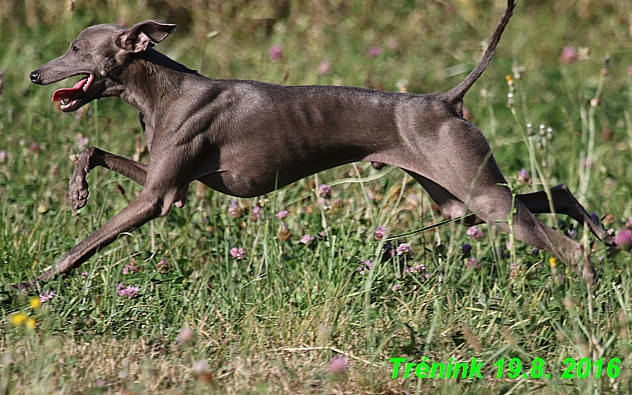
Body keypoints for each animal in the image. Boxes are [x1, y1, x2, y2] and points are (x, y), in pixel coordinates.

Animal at [21, 0, 612, 290]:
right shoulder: (172, 185)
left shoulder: (157, 198)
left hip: (480, 197)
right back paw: (605, 235)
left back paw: (585, 287)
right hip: (458, 201)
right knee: (558, 193)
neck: (161, 89)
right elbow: (91, 151)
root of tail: (446, 100)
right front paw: (76, 190)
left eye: (76, 48)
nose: (33, 74)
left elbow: (85, 245)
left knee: (564, 242)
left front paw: (36, 282)